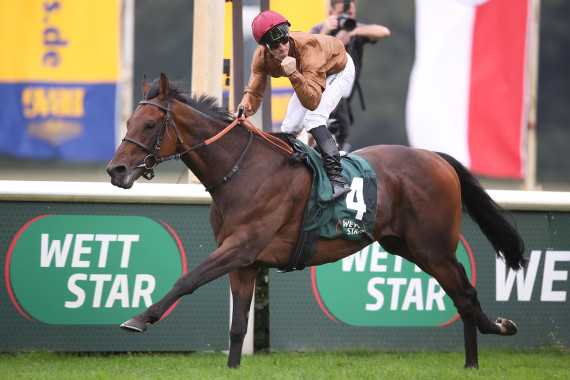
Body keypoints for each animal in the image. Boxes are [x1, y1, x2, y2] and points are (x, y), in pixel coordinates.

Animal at [105, 73, 524, 368]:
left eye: (148, 125)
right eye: (128, 121)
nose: (115, 170)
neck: (241, 169)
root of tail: (437, 157)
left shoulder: (241, 247)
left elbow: (187, 279)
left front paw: (140, 318)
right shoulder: (244, 261)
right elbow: (238, 326)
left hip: (433, 247)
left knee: (464, 294)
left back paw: (481, 351)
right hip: (407, 246)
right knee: (461, 292)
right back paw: (486, 342)